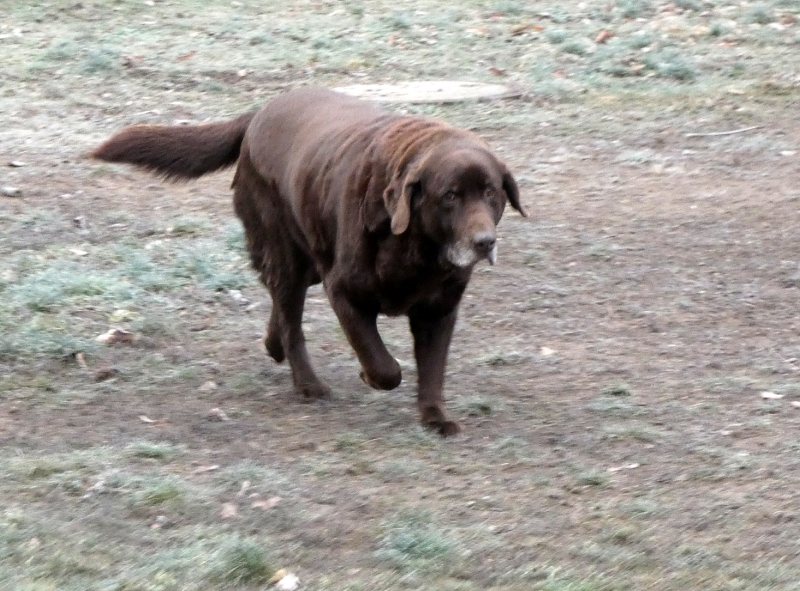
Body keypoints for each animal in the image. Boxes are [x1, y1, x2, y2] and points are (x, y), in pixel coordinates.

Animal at [93, 87, 526, 436]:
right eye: (450, 195)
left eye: (491, 192)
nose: (485, 243)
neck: (415, 247)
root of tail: (259, 112)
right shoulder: (344, 292)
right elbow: (384, 365)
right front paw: (369, 376)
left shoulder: (439, 310)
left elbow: (433, 369)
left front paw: (435, 418)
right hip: (287, 251)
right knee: (290, 320)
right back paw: (307, 384)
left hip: (307, 257)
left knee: (280, 305)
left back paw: (273, 346)